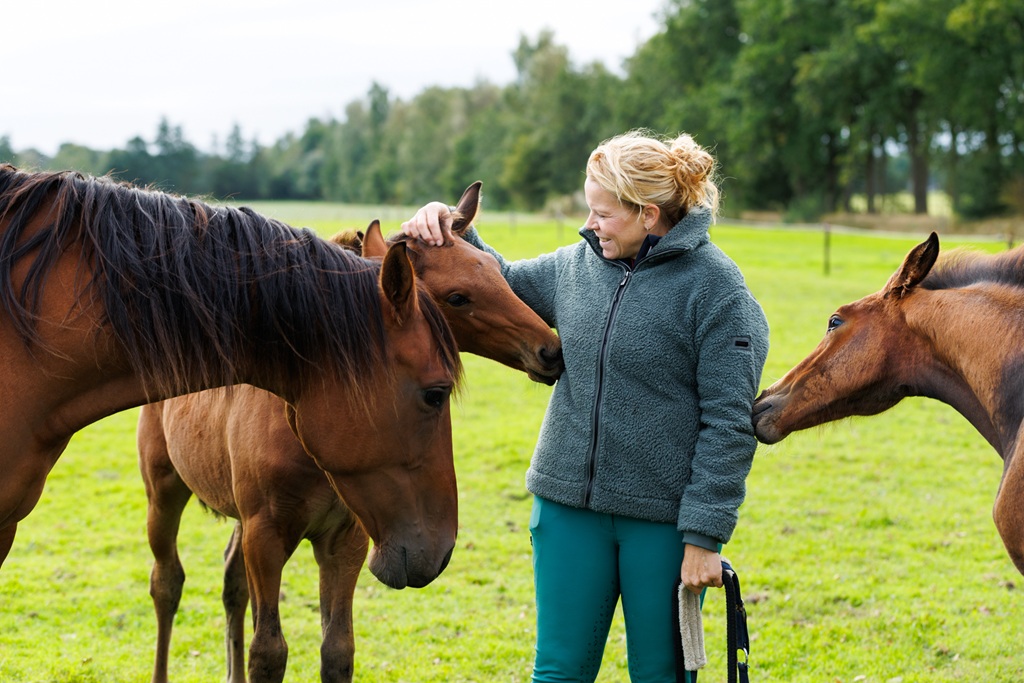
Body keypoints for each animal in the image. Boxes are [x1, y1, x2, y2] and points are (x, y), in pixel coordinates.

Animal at [139, 181, 562, 683]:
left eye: (498, 272)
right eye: (458, 297)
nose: (550, 350)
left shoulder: (347, 539)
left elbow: (337, 651)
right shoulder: (266, 536)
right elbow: (269, 652)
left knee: (231, 584)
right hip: (164, 489)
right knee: (167, 583)